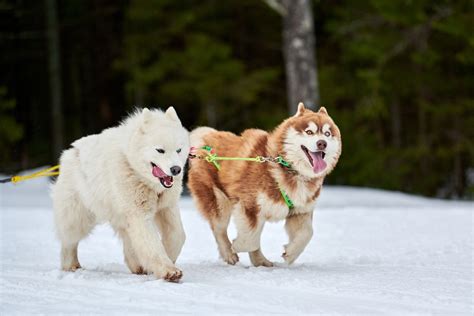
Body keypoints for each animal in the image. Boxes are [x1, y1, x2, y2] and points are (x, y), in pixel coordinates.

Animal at [52, 107, 190, 282]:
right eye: (160, 150)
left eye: (179, 150)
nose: (176, 169)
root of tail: (70, 152)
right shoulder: (139, 214)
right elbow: (152, 244)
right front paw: (168, 270)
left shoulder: (166, 207)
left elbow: (177, 235)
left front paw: (168, 258)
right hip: (77, 217)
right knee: (69, 241)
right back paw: (70, 265)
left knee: (128, 241)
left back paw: (137, 266)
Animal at [188, 102, 340, 266]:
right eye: (309, 132)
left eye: (327, 134)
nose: (322, 143)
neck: (287, 168)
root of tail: (205, 137)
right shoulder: (250, 206)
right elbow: (250, 239)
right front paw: (237, 246)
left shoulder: (300, 211)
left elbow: (307, 233)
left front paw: (290, 253)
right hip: (219, 202)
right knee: (219, 229)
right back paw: (229, 253)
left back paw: (260, 261)